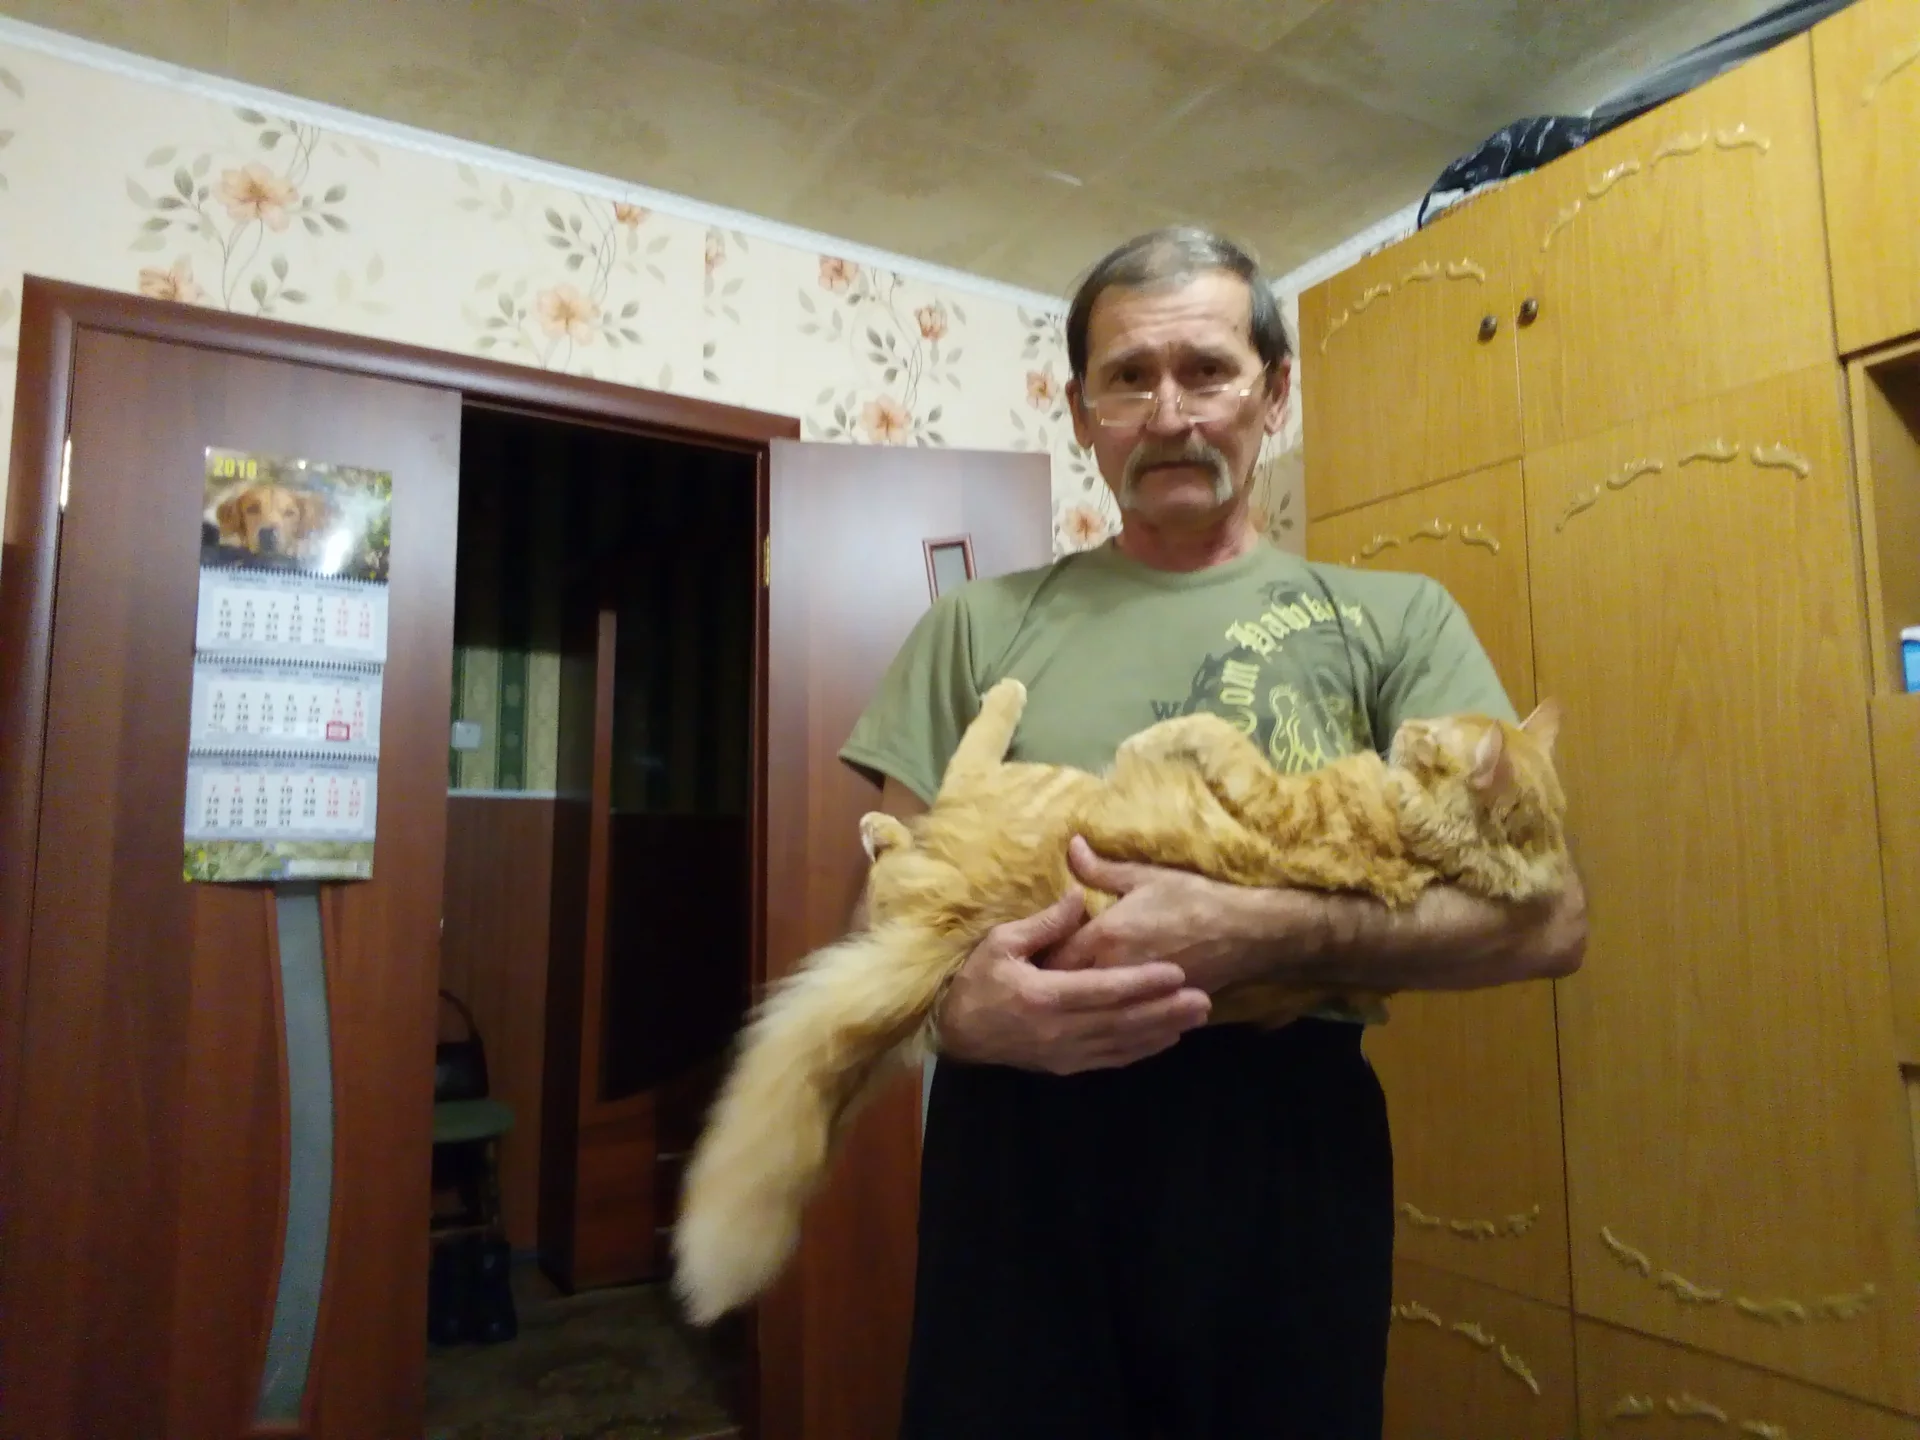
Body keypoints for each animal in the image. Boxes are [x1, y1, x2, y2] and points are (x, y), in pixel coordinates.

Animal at [671, 678, 1571, 1325]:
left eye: (1433, 736)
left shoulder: (1275, 796)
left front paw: (1169, 733)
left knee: (960, 771)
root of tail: (955, 929)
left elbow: (1215, 735)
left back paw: (932, 774)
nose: (1407, 726)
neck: (1433, 844)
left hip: (1022, 787)